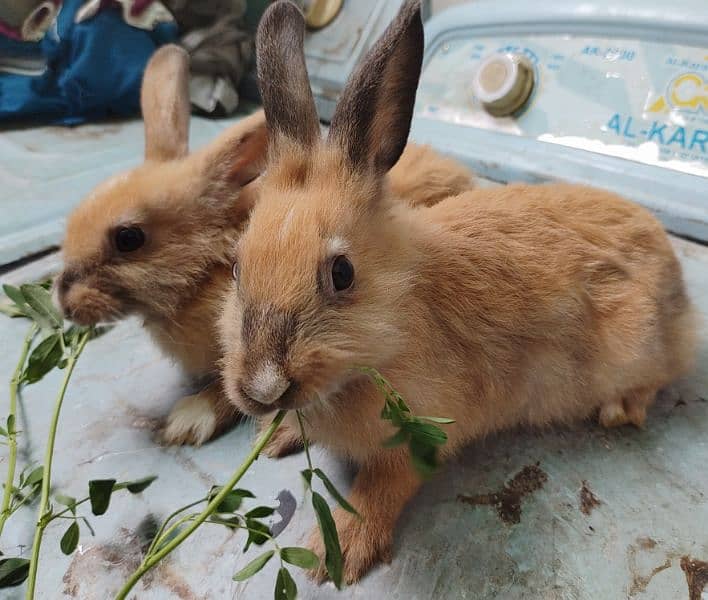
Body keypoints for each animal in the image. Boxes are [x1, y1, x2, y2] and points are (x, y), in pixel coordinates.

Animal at [220, 0, 696, 584]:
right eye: (236, 267)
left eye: (342, 274)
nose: (262, 388)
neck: (400, 316)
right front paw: (279, 434)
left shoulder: (417, 438)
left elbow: (380, 488)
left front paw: (344, 553)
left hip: (638, 346)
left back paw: (618, 409)